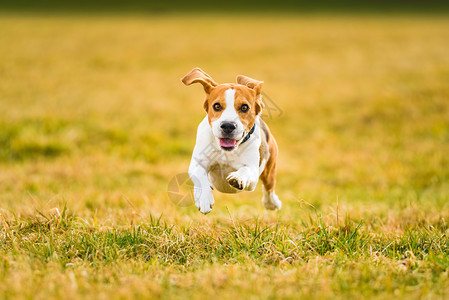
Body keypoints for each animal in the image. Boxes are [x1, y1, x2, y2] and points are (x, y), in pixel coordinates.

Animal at [179, 67, 280, 213]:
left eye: (244, 107)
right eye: (216, 106)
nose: (228, 125)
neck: (226, 151)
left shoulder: (253, 173)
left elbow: (245, 170)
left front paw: (237, 178)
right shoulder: (198, 163)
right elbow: (200, 177)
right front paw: (204, 198)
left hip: (269, 168)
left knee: (269, 188)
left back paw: (271, 203)